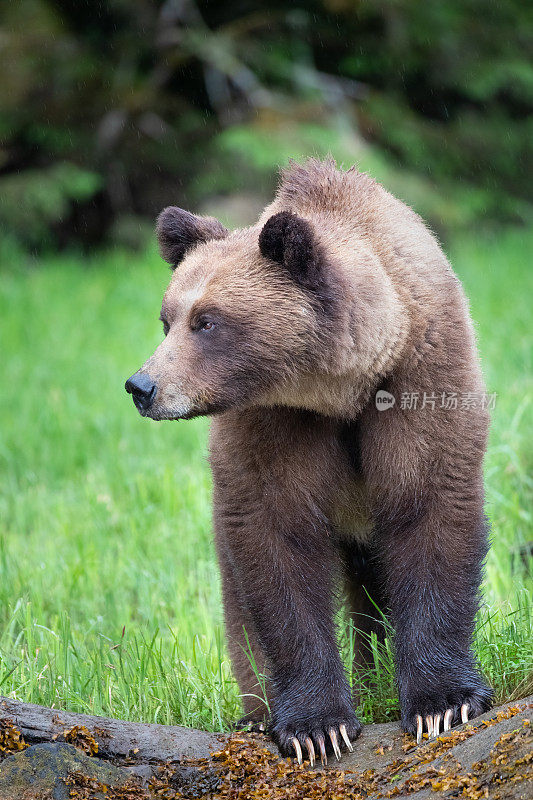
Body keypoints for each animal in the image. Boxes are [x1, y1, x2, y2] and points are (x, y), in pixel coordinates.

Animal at [124, 159, 490, 764]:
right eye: (166, 319)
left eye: (207, 321)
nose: (142, 386)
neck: (340, 388)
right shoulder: (271, 424)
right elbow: (278, 545)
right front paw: (318, 727)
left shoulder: (421, 376)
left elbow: (428, 508)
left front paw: (442, 702)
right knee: (240, 609)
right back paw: (260, 714)